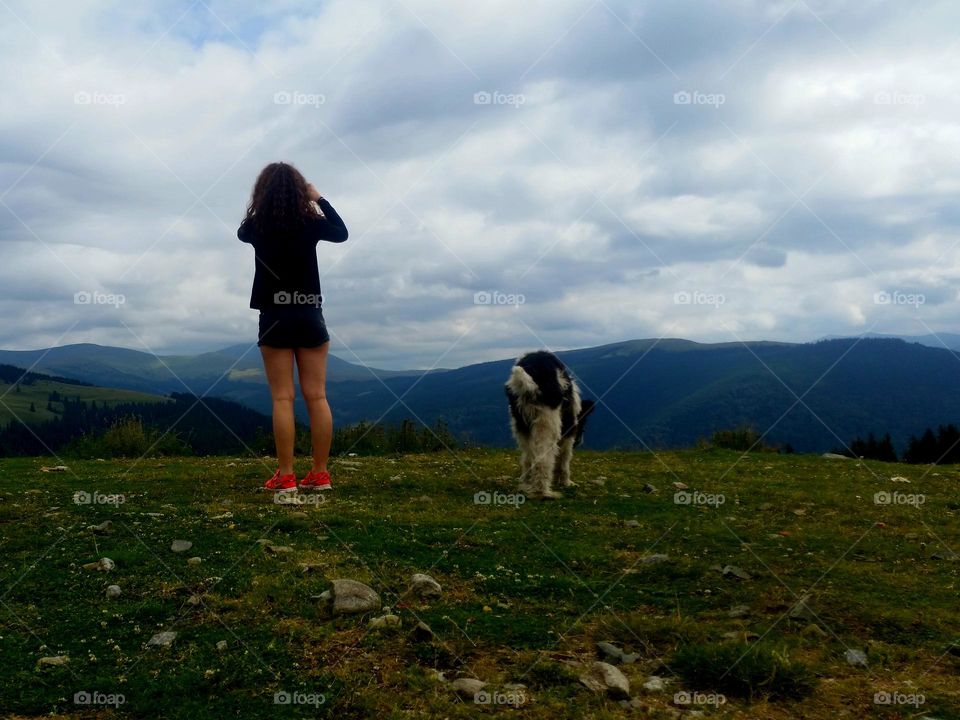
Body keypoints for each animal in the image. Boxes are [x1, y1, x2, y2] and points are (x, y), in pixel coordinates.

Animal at [506, 350, 596, 498]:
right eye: (582, 427)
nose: (579, 441)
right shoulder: (568, 431)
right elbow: (564, 459)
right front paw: (566, 482)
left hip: (520, 423)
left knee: (529, 458)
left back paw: (526, 486)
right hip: (547, 420)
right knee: (542, 458)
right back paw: (542, 492)